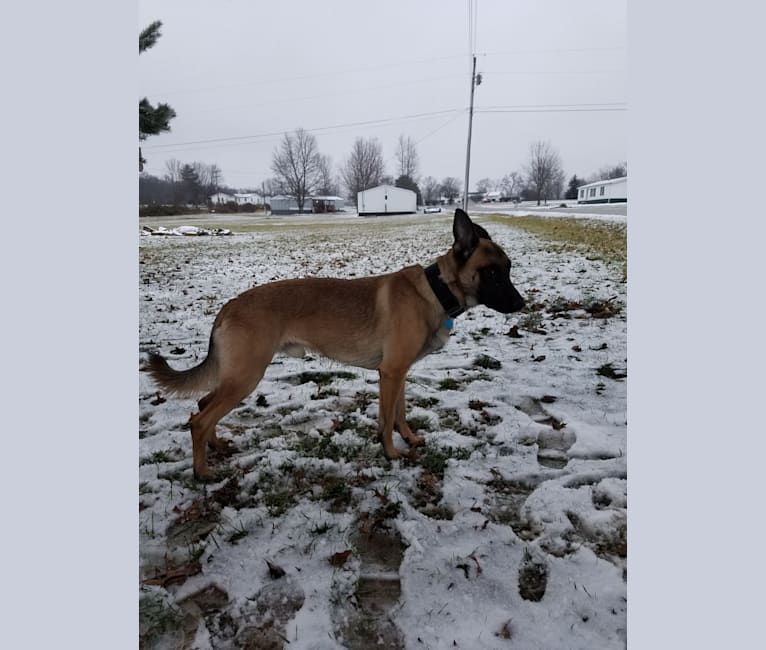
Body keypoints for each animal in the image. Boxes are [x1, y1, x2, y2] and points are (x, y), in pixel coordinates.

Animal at [144, 208, 524, 476]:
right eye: (492, 273)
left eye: (508, 269)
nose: (522, 304)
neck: (436, 288)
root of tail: (229, 306)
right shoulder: (391, 373)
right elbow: (387, 418)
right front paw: (390, 452)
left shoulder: (398, 373)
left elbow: (399, 413)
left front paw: (409, 438)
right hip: (246, 377)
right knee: (199, 419)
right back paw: (202, 473)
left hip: (237, 377)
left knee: (203, 404)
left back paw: (217, 447)